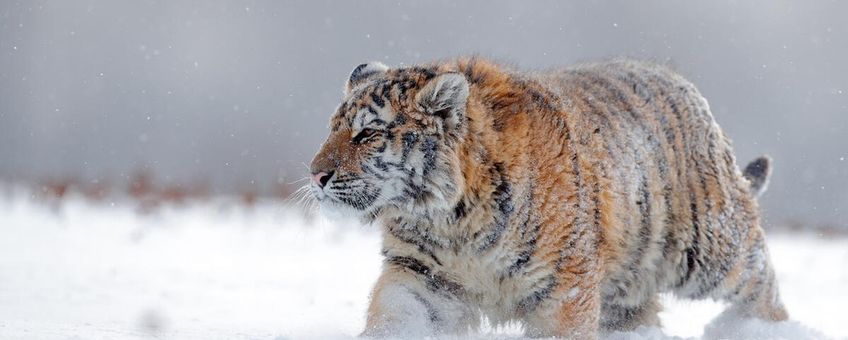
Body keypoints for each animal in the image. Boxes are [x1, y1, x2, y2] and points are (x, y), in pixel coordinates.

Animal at [306, 57, 788, 338]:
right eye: (332, 128)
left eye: (367, 134)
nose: (316, 175)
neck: (448, 220)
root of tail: (685, 86)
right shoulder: (422, 275)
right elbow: (395, 317)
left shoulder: (564, 288)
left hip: (709, 250)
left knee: (760, 277)